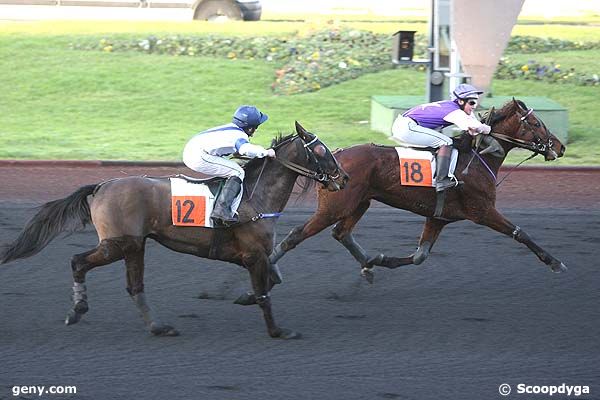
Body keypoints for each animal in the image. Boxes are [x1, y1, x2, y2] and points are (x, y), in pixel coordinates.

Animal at [0, 121, 350, 338]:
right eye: (320, 150)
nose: (344, 177)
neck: (255, 196)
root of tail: (101, 185)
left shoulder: (256, 257)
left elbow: (272, 281)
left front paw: (245, 298)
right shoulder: (254, 255)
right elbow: (265, 293)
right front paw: (278, 331)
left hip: (134, 245)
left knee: (135, 287)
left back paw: (158, 327)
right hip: (119, 243)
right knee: (79, 262)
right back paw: (78, 310)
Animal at [268, 99, 568, 286]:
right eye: (537, 123)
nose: (560, 146)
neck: (477, 159)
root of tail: (334, 160)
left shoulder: (438, 217)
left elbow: (420, 255)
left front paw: (381, 259)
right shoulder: (482, 211)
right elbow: (520, 233)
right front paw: (555, 262)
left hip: (360, 202)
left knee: (341, 233)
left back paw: (367, 264)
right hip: (335, 207)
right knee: (297, 235)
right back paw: (268, 267)